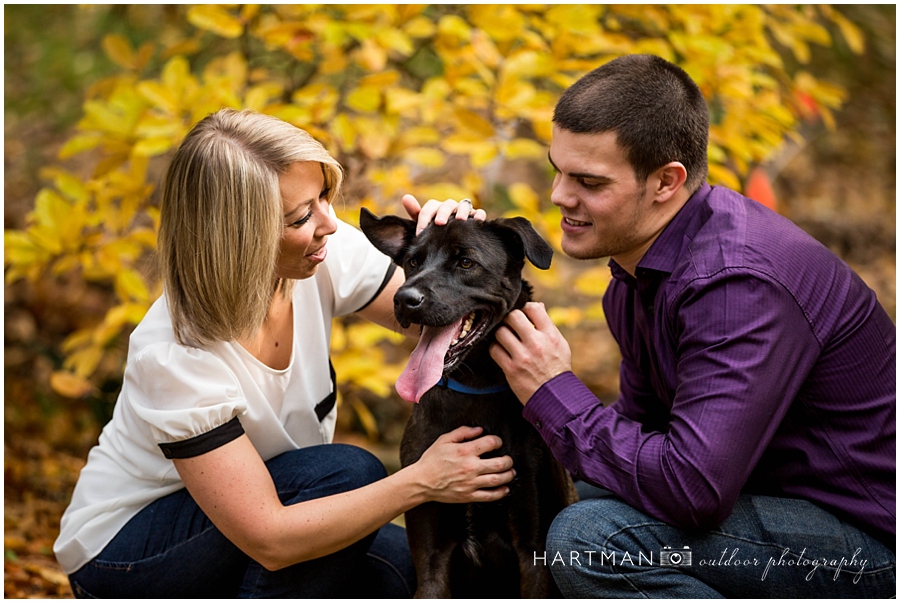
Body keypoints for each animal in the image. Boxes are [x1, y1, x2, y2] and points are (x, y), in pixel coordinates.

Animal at [360, 208, 576, 600]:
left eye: (465, 262)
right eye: (412, 262)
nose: (403, 298)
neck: (475, 390)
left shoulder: (533, 552)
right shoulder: (430, 555)